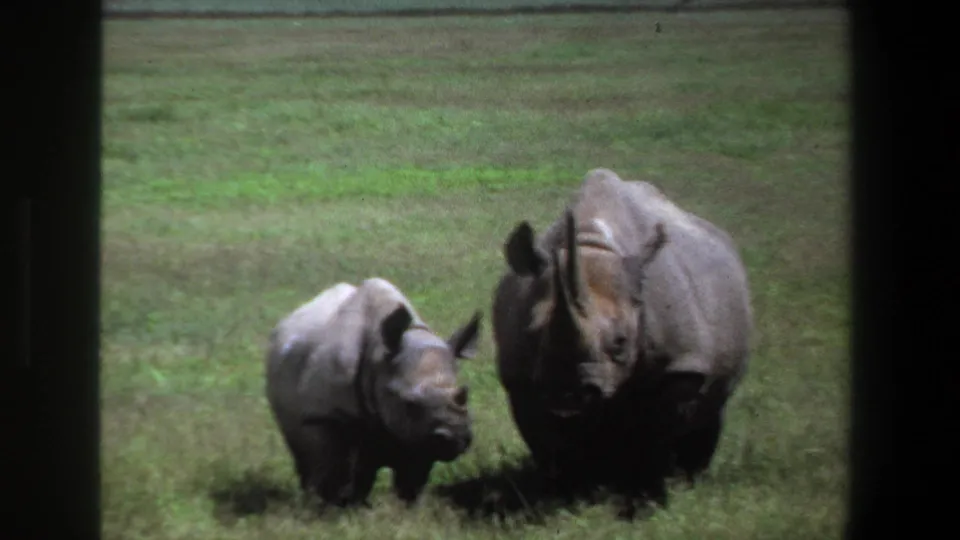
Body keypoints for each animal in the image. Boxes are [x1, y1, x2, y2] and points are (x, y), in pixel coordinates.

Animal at [265, 278, 482, 507]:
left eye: (464, 395)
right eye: (409, 403)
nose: (454, 436)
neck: (379, 357)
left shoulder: (418, 434)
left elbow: (412, 477)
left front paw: (407, 508)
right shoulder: (325, 414)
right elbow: (332, 467)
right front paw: (334, 508)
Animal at [492, 168, 753, 513]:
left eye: (621, 341)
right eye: (533, 333)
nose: (568, 393)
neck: (592, 245)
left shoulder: (681, 365)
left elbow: (657, 434)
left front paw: (647, 500)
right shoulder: (520, 377)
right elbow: (547, 440)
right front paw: (567, 496)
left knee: (711, 408)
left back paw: (688, 480)